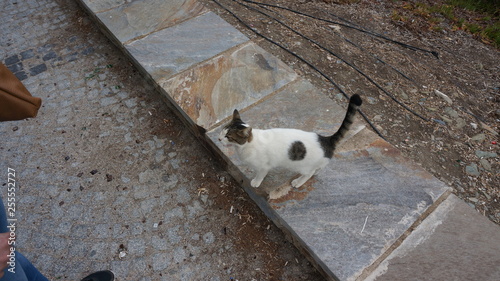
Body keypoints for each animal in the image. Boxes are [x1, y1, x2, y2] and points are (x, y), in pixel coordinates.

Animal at [219, 94, 364, 188]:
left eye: (228, 136)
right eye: (222, 130)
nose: (219, 138)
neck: (245, 146)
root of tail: (326, 139)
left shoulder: (264, 165)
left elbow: (261, 174)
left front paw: (256, 181)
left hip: (303, 167)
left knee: (309, 173)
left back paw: (298, 182)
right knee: (320, 167)